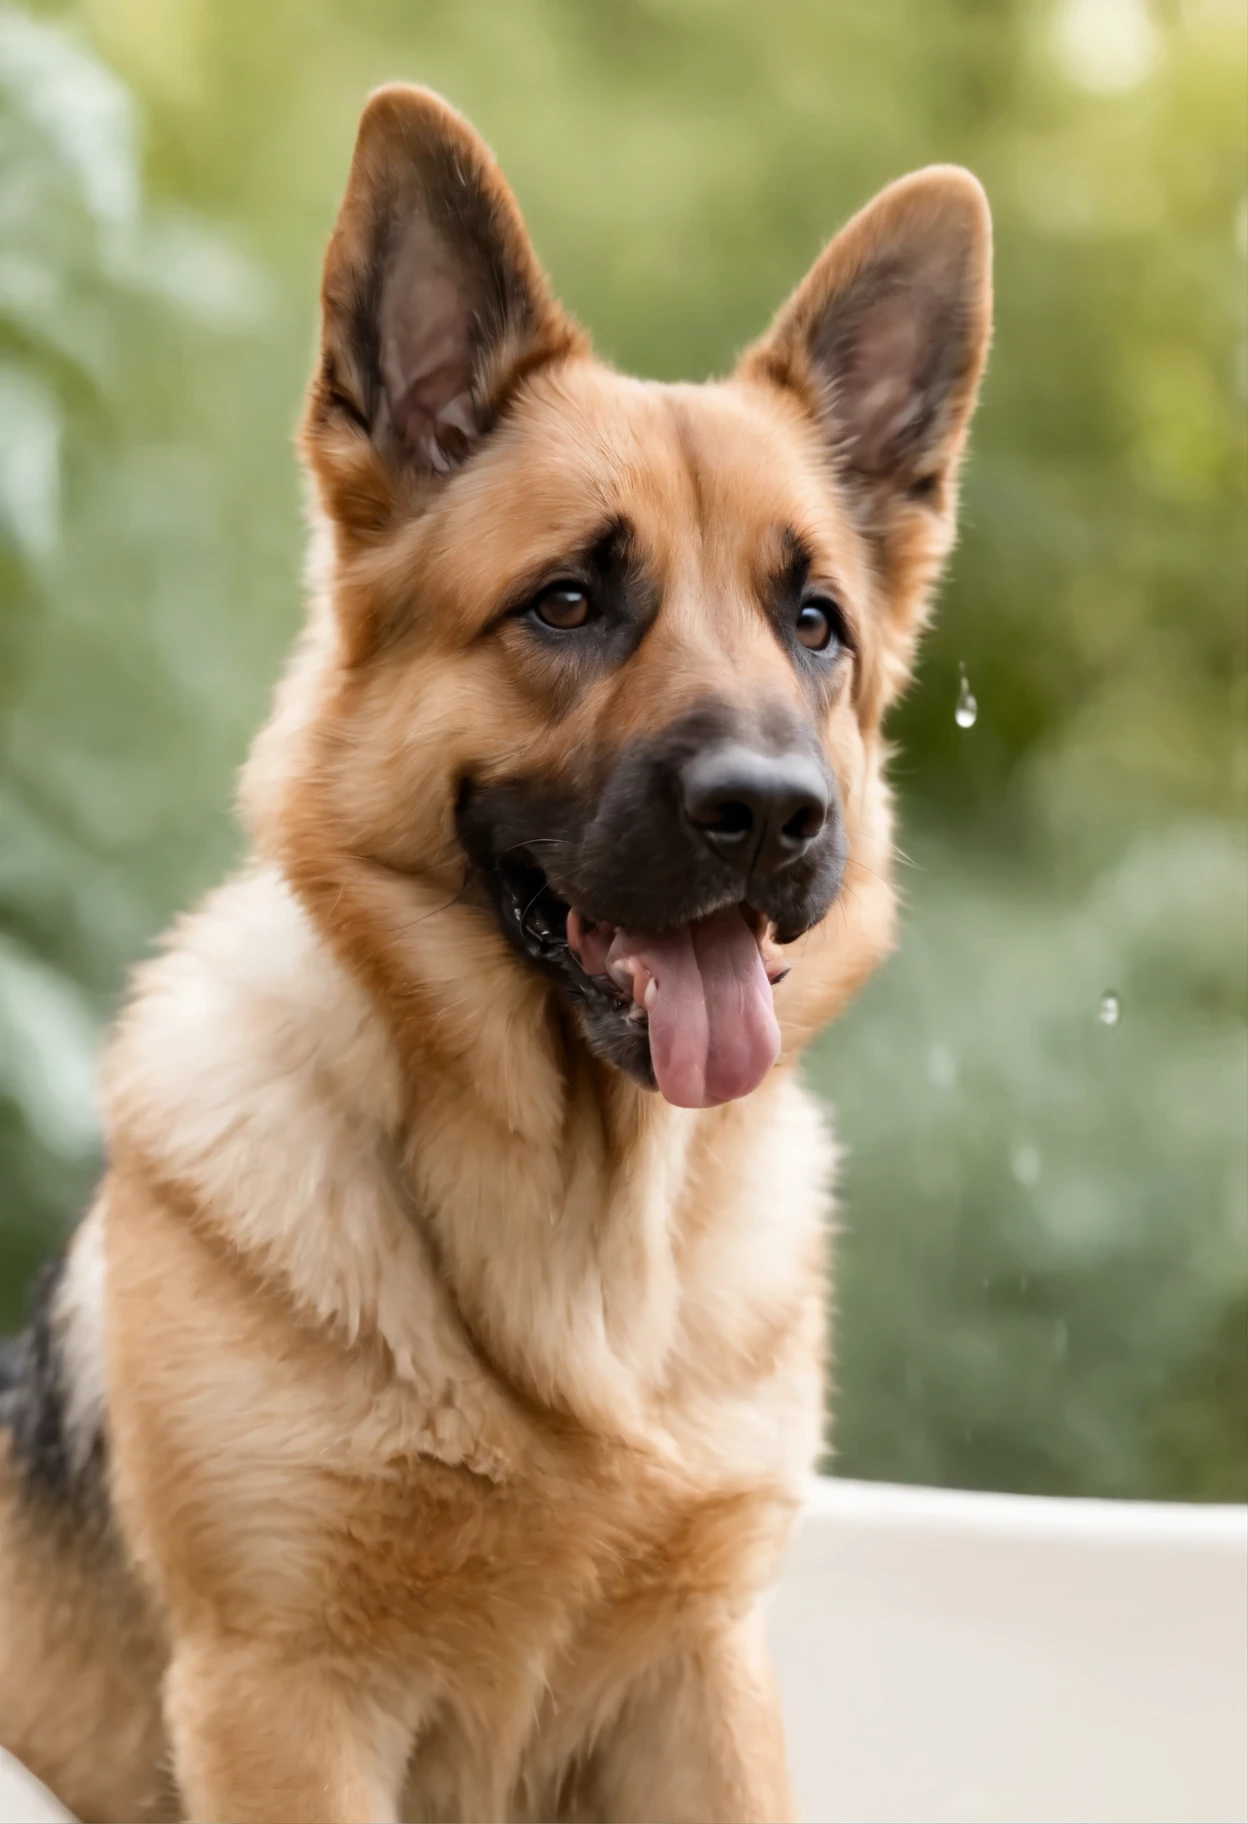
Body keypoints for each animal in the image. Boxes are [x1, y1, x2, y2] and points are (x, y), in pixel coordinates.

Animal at [2, 82, 992, 1824]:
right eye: (571, 602)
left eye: (812, 622)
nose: (773, 815)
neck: (576, 1252)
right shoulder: (286, 1702)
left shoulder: (702, 1688)